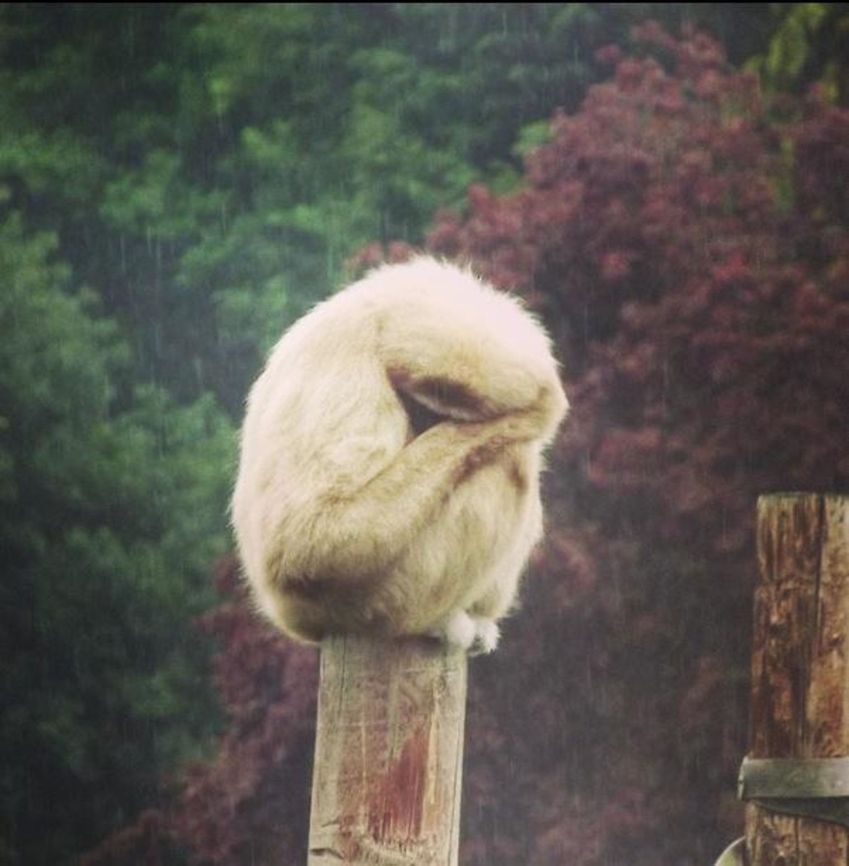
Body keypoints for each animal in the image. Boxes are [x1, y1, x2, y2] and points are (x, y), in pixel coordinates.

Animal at [231, 256, 568, 654]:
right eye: (422, 408)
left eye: (442, 415)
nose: (427, 424)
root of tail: (294, 617)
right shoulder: (347, 357)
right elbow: (310, 541)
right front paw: (531, 415)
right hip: (378, 598)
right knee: (507, 462)